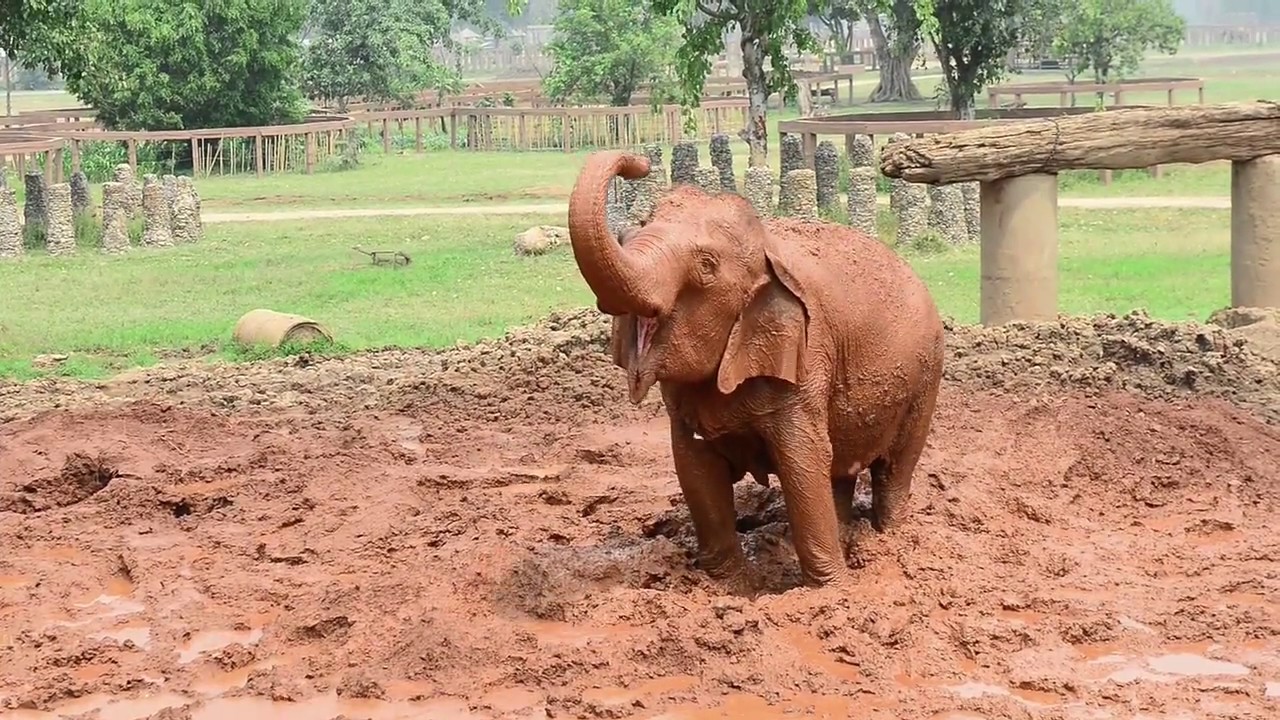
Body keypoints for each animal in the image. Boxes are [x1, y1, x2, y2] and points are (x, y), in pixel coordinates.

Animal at [566, 150, 945, 590]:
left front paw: (832, 589)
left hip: (926, 378)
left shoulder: (807, 361)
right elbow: (695, 468)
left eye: (707, 265)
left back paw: (890, 539)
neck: (767, 248)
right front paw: (730, 587)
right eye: (640, 227)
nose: (640, 163)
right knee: (839, 469)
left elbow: (803, 462)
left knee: (895, 467)